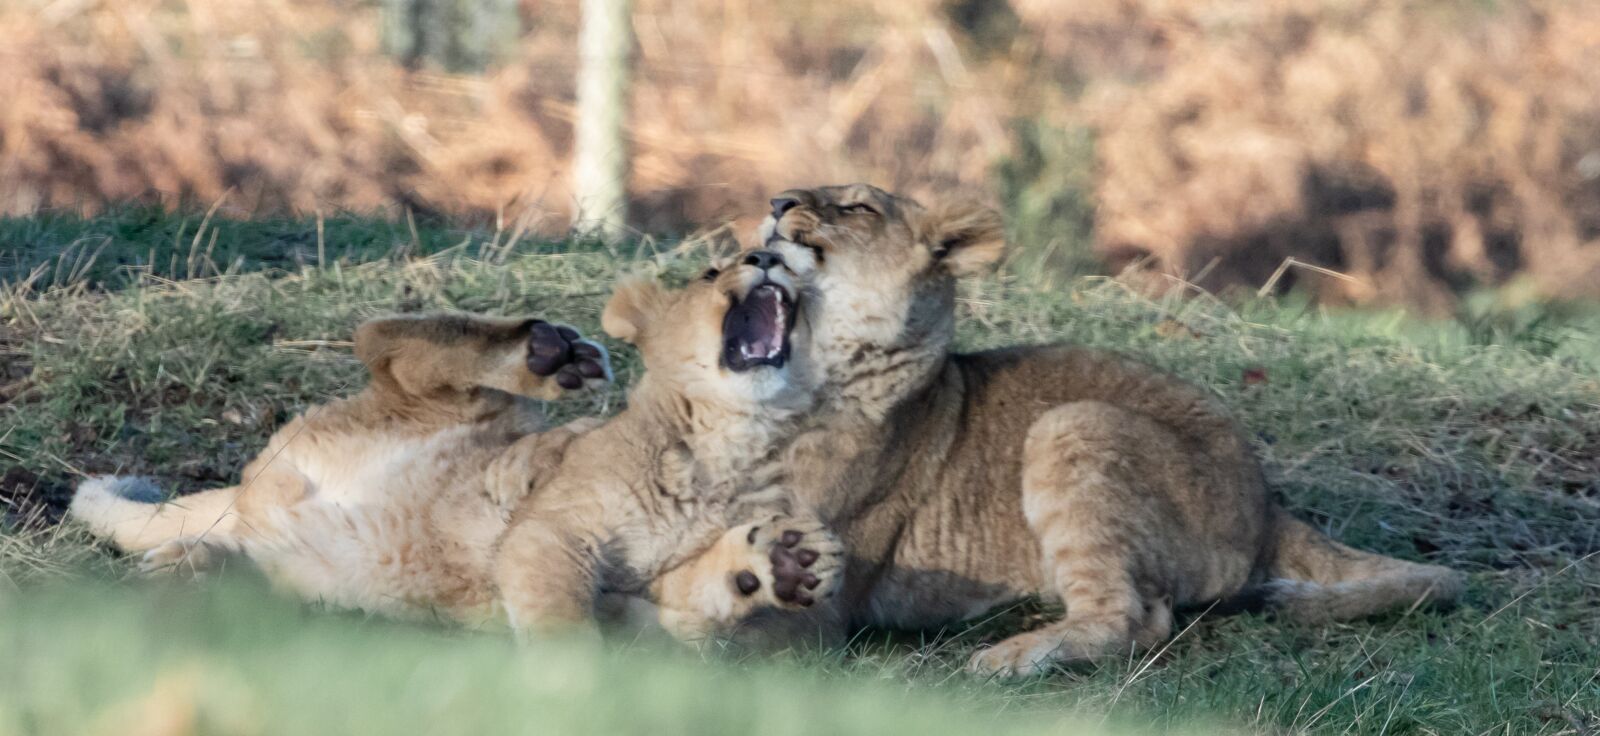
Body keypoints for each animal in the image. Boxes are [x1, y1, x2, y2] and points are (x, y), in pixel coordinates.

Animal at [654, 183, 1465, 677]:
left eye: (855, 206)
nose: (776, 202)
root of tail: (1269, 507)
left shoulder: (826, 583)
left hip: (1073, 424)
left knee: (1134, 619)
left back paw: (1009, 656)